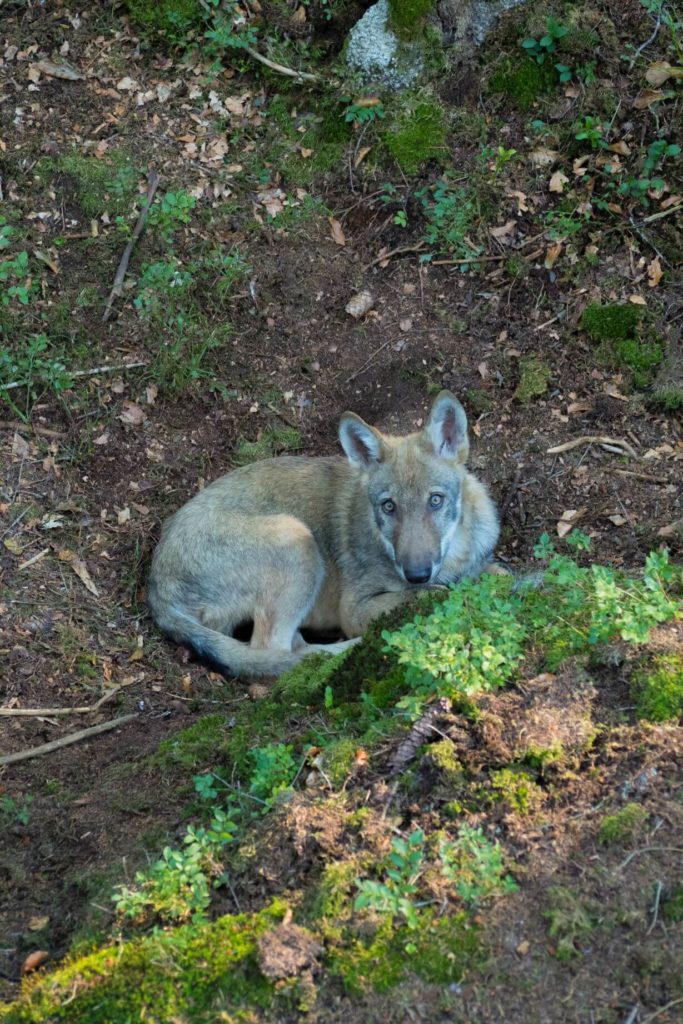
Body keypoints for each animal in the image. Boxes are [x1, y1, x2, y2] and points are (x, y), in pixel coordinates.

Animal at [149, 391, 499, 679]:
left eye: (435, 500)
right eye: (388, 506)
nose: (416, 574)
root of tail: (156, 587)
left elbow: (492, 573)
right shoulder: (355, 608)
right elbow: (424, 596)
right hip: (296, 538)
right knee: (275, 654)